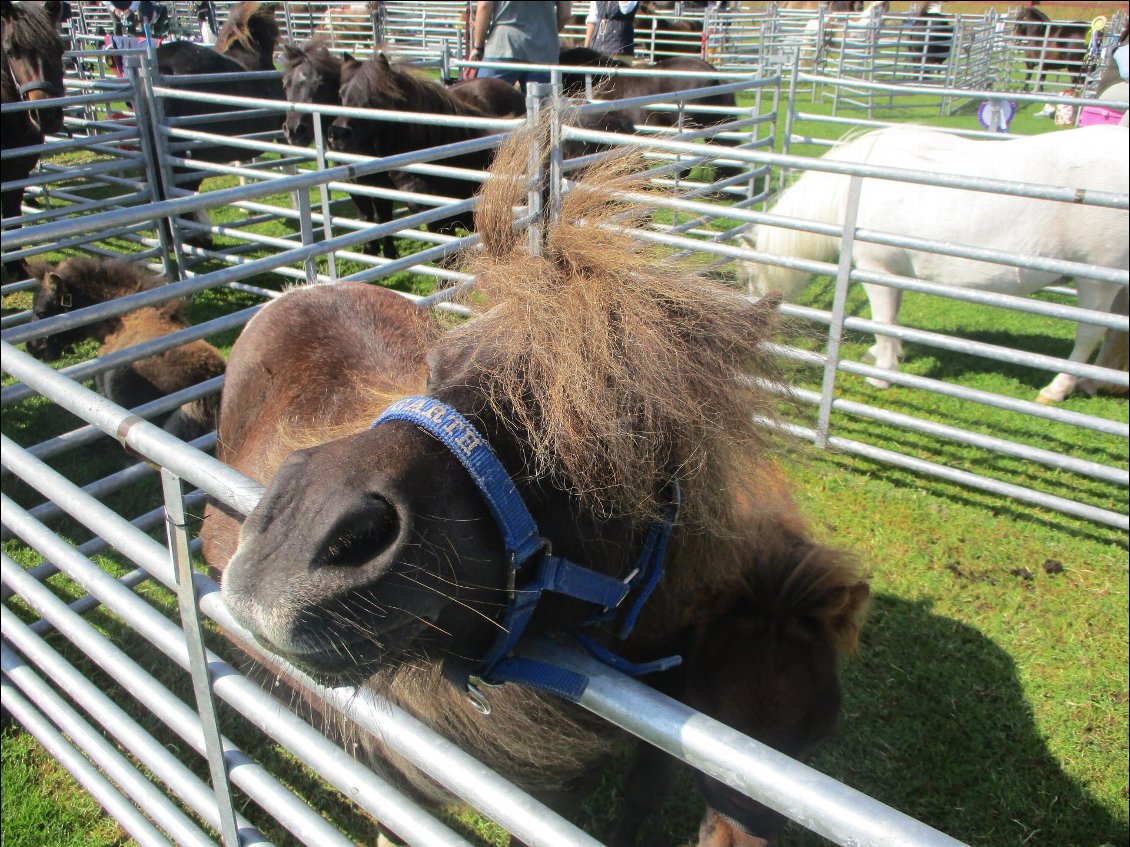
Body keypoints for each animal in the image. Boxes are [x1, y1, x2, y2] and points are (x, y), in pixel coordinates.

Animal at [741, 124, 1130, 406]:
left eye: (749, 278)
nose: (753, 333)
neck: (850, 193)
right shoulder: (895, 273)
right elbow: (893, 318)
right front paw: (888, 355)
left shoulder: (876, 269)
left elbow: (883, 321)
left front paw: (882, 374)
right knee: (1115, 331)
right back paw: (1094, 382)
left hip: (1097, 280)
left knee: (1090, 333)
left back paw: (1059, 388)